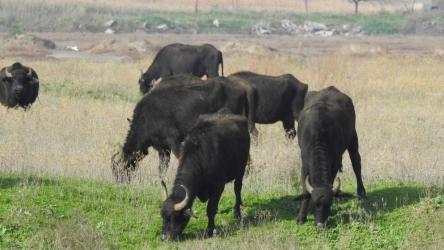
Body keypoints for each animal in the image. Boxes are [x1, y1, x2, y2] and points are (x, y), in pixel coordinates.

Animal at [109, 75, 251, 183]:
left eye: (120, 166)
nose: (120, 182)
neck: (148, 116)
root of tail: (242, 90)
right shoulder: (163, 149)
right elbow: (162, 169)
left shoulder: (175, 142)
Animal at [296, 85, 366, 227]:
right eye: (315, 204)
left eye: (328, 204)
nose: (320, 224)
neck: (318, 134)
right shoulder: (304, 163)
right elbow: (305, 191)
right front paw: (301, 217)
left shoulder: (335, 160)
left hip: (353, 137)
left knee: (356, 163)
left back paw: (362, 194)